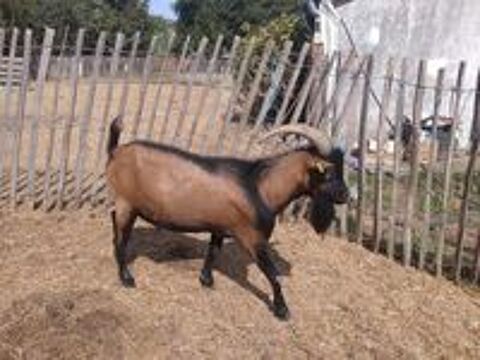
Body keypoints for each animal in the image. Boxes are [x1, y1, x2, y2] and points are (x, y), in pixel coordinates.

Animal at [106, 116, 348, 320]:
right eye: (328, 172)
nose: (345, 195)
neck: (259, 187)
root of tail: (116, 152)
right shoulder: (252, 237)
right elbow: (273, 274)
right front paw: (282, 311)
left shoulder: (220, 227)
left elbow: (213, 252)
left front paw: (206, 281)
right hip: (127, 202)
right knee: (121, 238)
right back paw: (126, 278)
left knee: (114, 223)